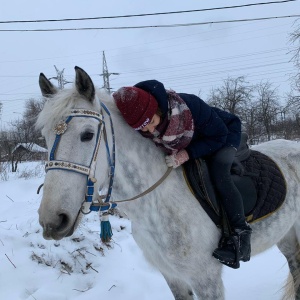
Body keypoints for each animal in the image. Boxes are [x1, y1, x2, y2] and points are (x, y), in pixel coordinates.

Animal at [36, 66, 300, 300]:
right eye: (45, 137)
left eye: (88, 135)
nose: (53, 221)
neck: (158, 202)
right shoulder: (172, 276)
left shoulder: (207, 280)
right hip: (286, 235)